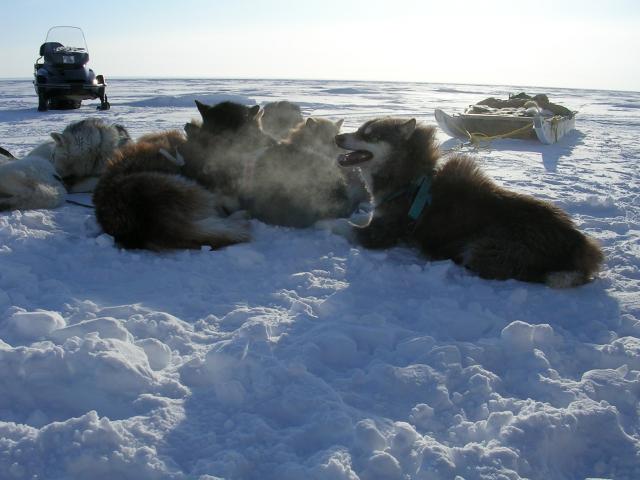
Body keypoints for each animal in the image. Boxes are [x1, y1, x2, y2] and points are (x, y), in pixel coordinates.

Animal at [335, 117, 604, 287]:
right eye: (360, 130)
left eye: (369, 135)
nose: (338, 137)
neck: (410, 179)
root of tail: (578, 242)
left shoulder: (380, 233)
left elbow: (340, 225)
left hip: (483, 248)